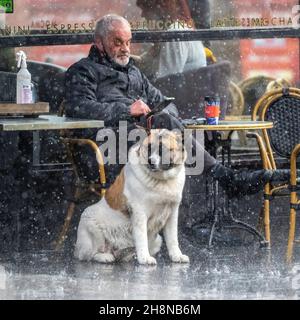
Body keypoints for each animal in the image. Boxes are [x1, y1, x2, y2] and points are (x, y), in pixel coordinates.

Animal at [74, 129, 189, 264]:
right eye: (149, 148)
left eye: (163, 149)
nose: (151, 161)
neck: (162, 181)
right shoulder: (139, 212)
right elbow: (141, 236)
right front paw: (145, 258)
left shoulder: (172, 213)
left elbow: (173, 238)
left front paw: (177, 256)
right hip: (89, 219)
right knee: (90, 254)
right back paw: (105, 257)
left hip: (157, 240)